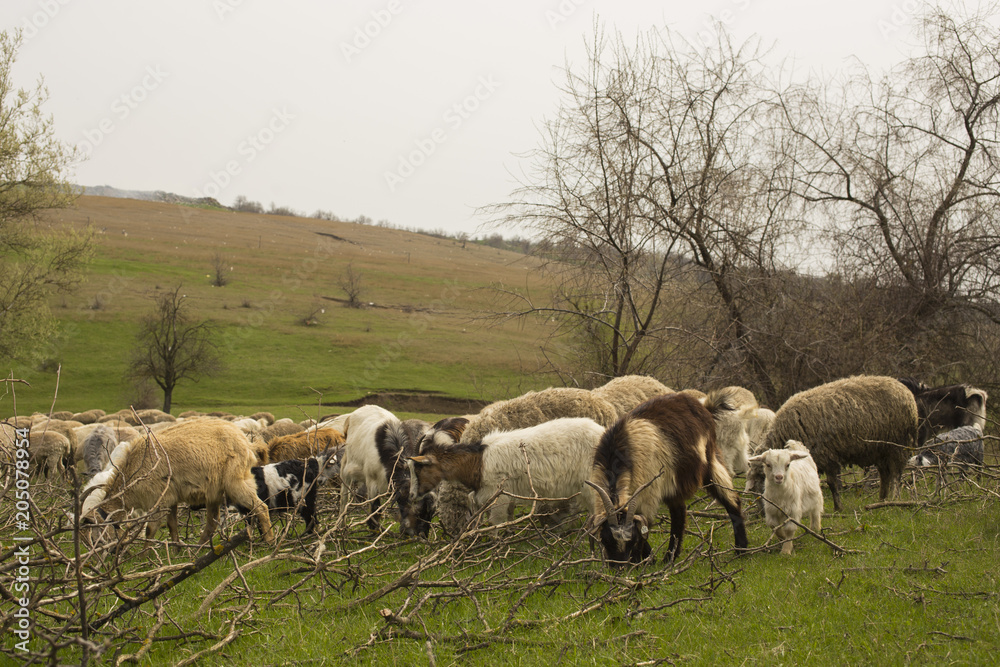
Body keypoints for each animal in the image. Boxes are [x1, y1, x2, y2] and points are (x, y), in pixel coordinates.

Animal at [79, 418, 274, 545]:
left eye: (96, 536)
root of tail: (247, 444)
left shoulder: (159, 499)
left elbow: (151, 528)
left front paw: (146, 555)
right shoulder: (171, 498)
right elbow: (171, 525)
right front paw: (175, 550)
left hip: (235, 482)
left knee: (261, 507)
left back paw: (269, 541)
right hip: (215, 492)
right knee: (212, 522)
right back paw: (198, 549)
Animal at [409, 417, 606, 529]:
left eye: (419, 468)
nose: (411, 495)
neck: (477, 461)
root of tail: (603, 432)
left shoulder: (498, 494)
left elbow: (496, 523)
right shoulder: (495, 493)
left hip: (591, 480)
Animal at [587, 390, 748, 565]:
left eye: (632, 541)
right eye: (606, 540)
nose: (620, 567)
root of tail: (704, 407)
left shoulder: (648, 493)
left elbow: (645, 526)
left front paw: (641, 561)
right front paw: (649, 558)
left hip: (710, 461)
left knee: (731, 499)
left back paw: (741, 549)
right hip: (673, 481)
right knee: (679, 512)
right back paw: (670, 557)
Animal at [763, 375, 918, 512]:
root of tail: (904, 390)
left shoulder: (826, 456)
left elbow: (832, 483)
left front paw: (838, 508)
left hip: (897, 445)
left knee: (896, 474)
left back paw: (894, 500)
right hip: (880, 449)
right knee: (885, 474)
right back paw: (882, 500)